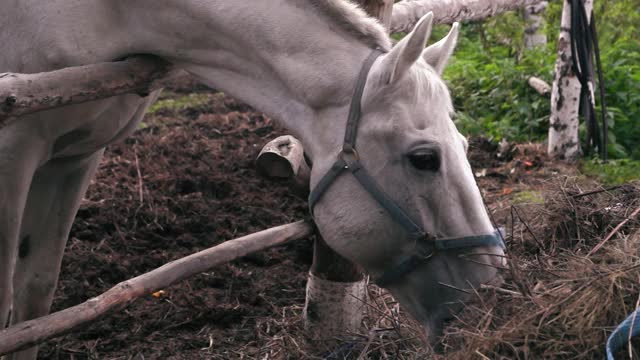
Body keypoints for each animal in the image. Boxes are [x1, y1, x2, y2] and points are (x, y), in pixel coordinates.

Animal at [1, 1, 504, 358]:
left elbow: (33, 300)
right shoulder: (14, 155)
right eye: (424, 158)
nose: (489, 300)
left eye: (463, 145)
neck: (107, 12)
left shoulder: (76, 158)